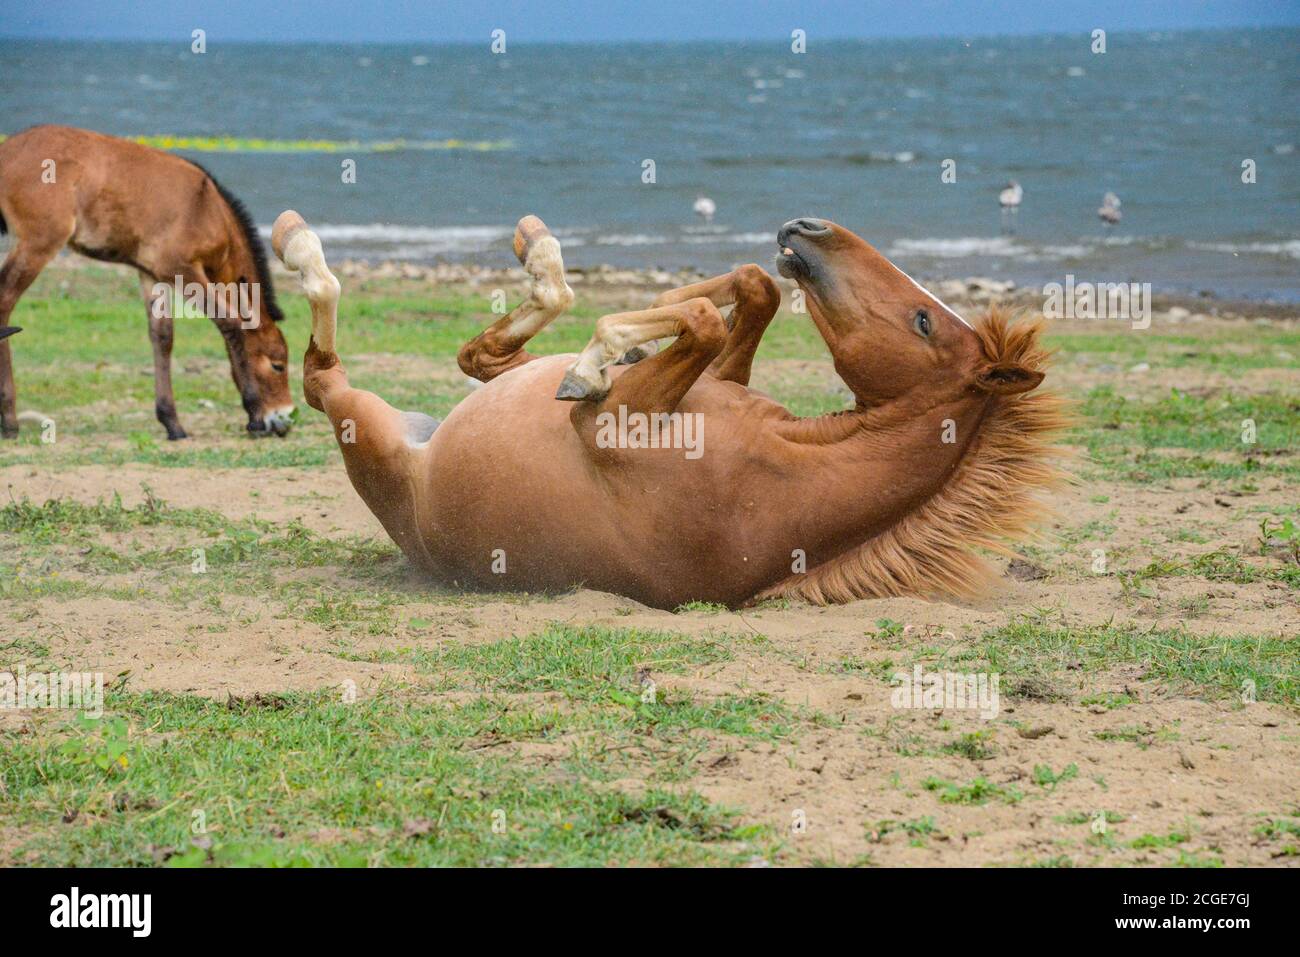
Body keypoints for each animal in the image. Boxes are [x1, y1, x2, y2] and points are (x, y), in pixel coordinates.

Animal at [0, 125, 295, 439]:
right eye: (277, 365)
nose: (285, 420)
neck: (208, 208)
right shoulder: (182, 269)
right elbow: (230, 322)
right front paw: (254, 416)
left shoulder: (152, 274)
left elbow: (162, 336)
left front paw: (172, 423)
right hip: (39, 243)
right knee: (4, 301)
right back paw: (10, 421)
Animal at [274, 211, 1066, 608]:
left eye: (922, 323)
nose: (811, 227)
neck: (780, 478)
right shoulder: (720, 376)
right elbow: (749, 289)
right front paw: (635, 332)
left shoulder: (604, 425)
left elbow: (705, 322)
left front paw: (601, 354)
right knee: (484, 354)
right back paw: (542, 255)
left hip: (362, 421)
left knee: (321, 372)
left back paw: (299, 244)